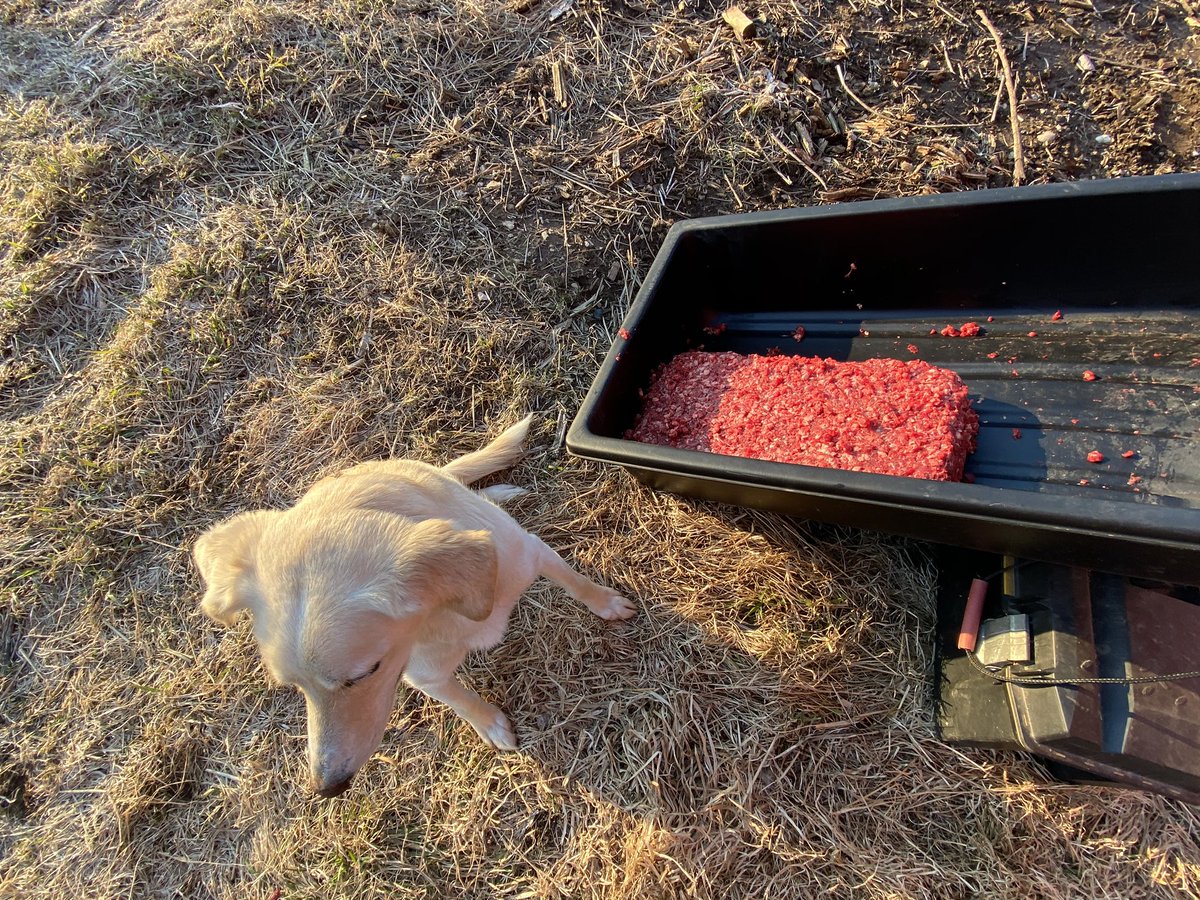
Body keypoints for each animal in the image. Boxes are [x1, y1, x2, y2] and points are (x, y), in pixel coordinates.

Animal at [192, 415, 633, 796]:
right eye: (293, 687)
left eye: (364, 673)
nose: (326, 788)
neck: (448, 610)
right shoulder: (426, 676)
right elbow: (463, 701)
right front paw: (491, 726)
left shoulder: (532, 553)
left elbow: (577, 583)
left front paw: (608, 604)